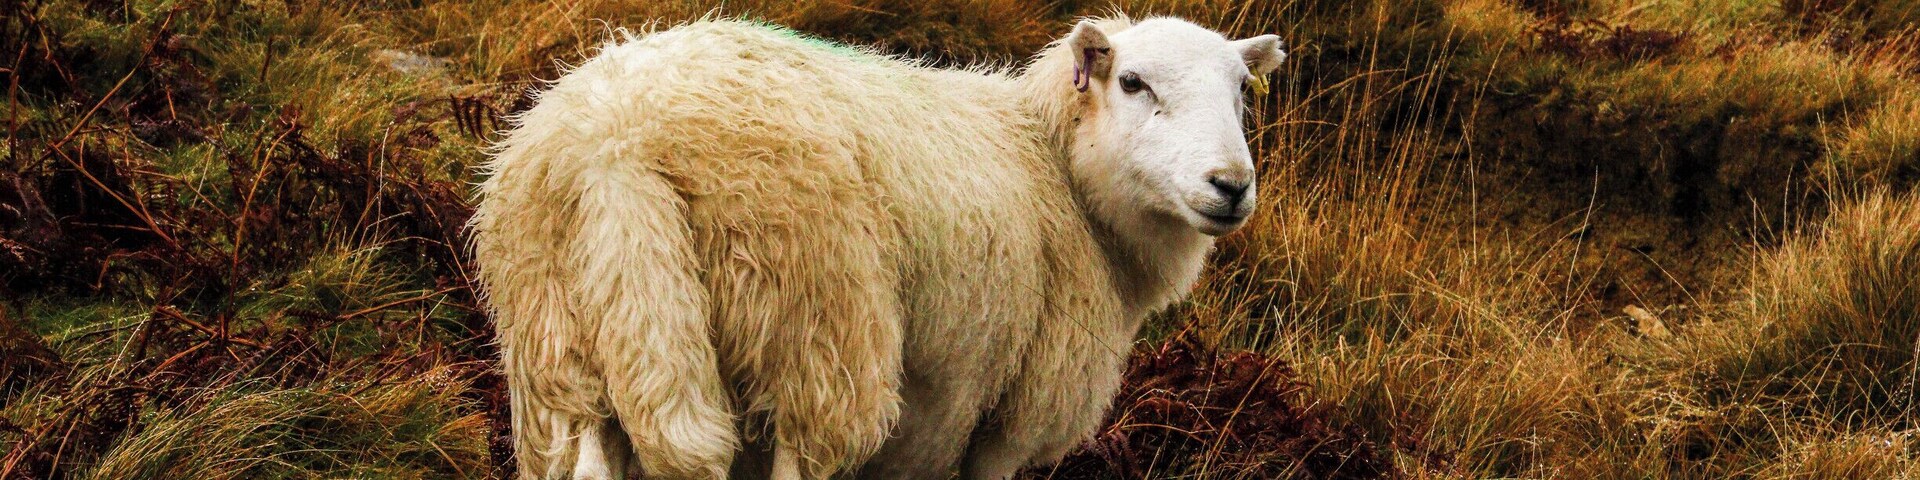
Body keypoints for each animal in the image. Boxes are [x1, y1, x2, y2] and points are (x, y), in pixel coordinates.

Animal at [469, 15, 1284, 480]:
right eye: (1135, 82)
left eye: (1242, 91)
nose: (1230, 185)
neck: (1055, 164)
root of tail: (618, 150)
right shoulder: (1010, 413)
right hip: (817, 336)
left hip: (578, 343)